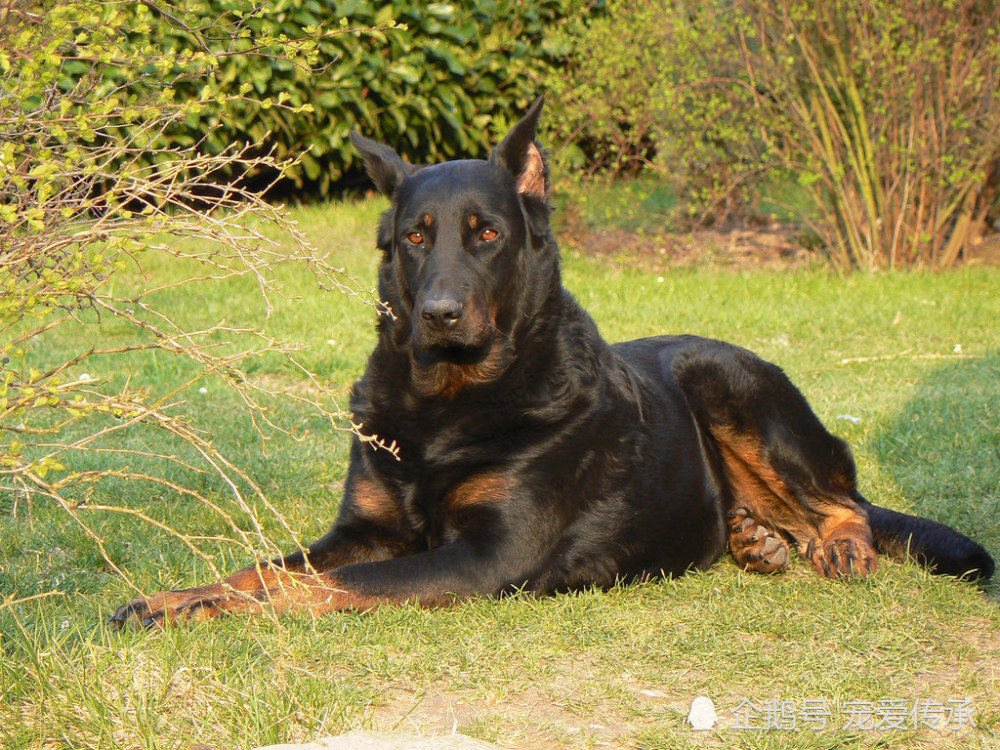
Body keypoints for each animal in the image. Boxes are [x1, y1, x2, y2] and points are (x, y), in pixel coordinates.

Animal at [111, 100, 992, 628]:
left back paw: (838, 546)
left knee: (845, 503)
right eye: (416, 236)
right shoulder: (364, 531)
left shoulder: (486, 558)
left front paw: (194, 610)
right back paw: (754, 541)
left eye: (487, 233)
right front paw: (172, 597)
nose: (438, 314)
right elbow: (260, 569)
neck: (449, 403)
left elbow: (310, 586)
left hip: (728, 383)